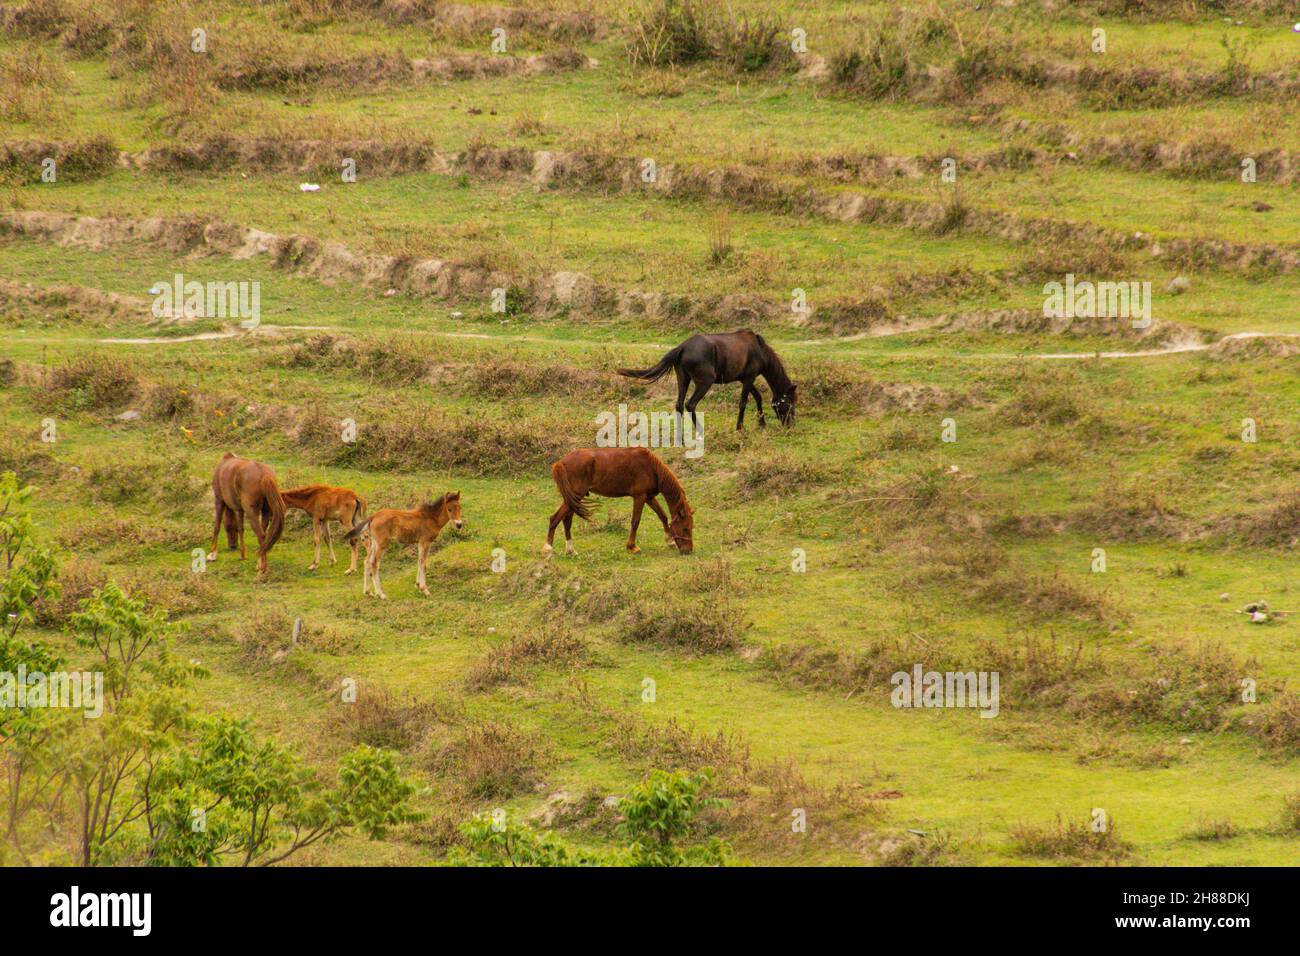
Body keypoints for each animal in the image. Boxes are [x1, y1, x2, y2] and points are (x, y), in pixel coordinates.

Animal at [545, 447, 694, 557]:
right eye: (685, 528)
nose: (688, 551)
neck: (651, 467)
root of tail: (562, 462)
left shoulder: (649, 497)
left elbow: (662, 516)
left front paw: (670, 541)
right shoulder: (640, 496)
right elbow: (635, 521)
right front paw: (632, 547)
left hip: (573, 499)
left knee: (566, 520)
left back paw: (570, 550)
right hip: (575, 496)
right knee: (554, 518)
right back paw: (548, 548)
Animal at [618, 329, 796, 433]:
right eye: (790, 404)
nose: (790, 424)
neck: (760, 349)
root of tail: (683, 347)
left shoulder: (744, 379)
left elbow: (758, 397)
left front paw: (762, 423)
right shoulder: (749, 378)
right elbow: (743, 402)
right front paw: (740, 428)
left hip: (683, 379)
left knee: (679, 405)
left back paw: (680, 437)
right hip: (705, 382)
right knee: (690, 404)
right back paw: (699, 431)